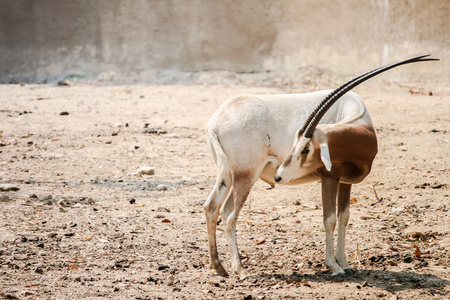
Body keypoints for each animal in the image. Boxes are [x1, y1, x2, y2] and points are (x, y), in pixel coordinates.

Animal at [204, 54, 436, 278]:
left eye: (305, 148)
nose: (279, 176)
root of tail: (215, 123)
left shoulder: (345, 181)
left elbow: (344, 217)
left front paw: (346, 264)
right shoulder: (329, 178)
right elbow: (330, 219)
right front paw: (335, 268)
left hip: (228, 176)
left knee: (212, 207)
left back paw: (219, 267)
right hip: (245, 176)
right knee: (229, 215)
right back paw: (241, 271)